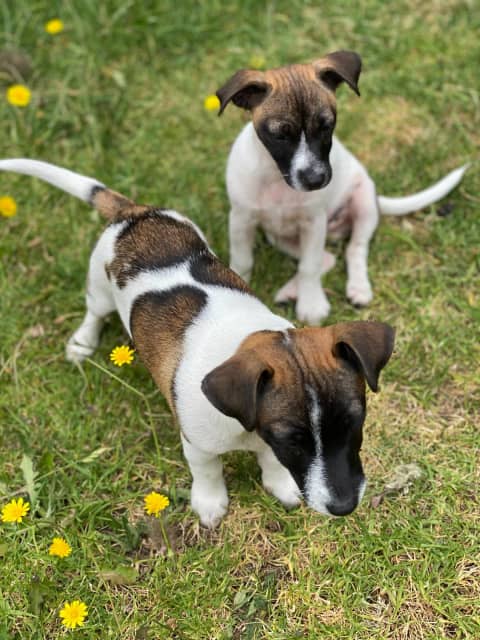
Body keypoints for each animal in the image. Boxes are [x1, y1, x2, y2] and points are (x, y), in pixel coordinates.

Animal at [1, 158, 396, 528]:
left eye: (355, 420)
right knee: (94, 312)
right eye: (292, 439)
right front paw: (210, 502)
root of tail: (134, 212)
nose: (344, 507)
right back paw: (83, 342)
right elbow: (208, 471)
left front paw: (279, 483)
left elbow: (269, 461)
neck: (245, 425)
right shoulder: (198, 445)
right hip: (99, 287)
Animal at [218, 51, 468, 324]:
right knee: (327, 258)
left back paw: (358, 288)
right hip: (279, 237)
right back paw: (289, 291)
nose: (315, 179)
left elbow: (309, 266)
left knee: (352, 250)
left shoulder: (313, 222)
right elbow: (242, 262)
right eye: (280, 136)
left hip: (364, 204)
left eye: (326, 126)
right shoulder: (241, 219)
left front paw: (311, 304)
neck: (276, 177)